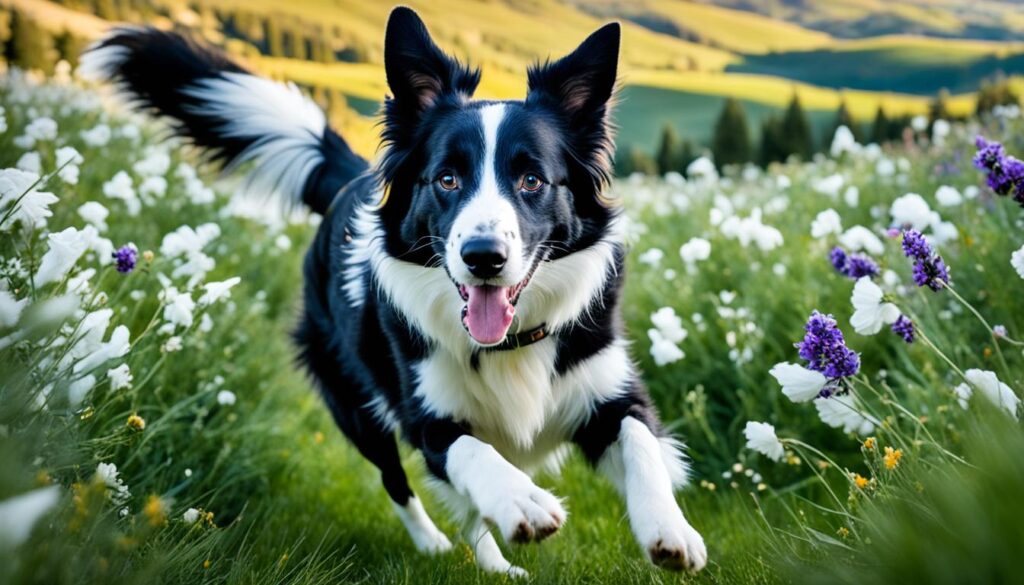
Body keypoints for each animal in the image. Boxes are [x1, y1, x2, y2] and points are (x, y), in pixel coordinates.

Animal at [81, 8, 704, 577]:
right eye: (447, 179)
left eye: (532, 180)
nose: (483, 257)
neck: (509, 344)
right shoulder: (427, 416)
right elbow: (471, 453)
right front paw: (521, 501)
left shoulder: (609, 391)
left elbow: (641, 441)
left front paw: (670, 530)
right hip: (355, 404)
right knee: (399, 481)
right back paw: (447, 548)